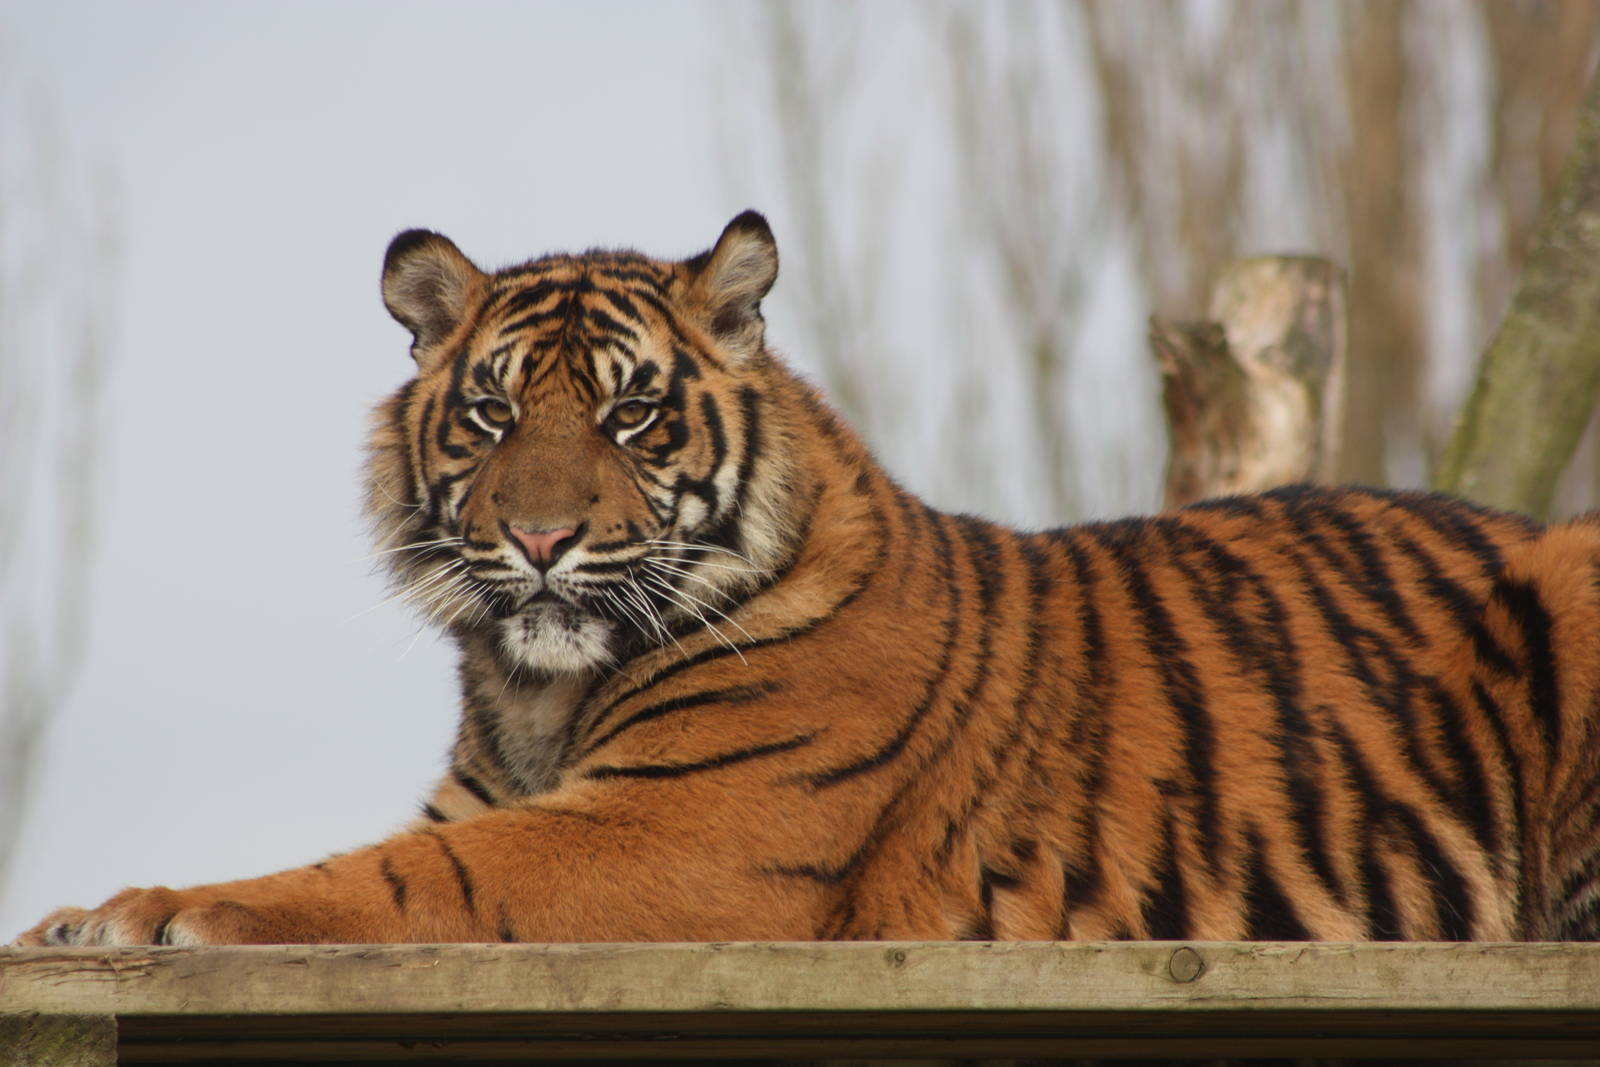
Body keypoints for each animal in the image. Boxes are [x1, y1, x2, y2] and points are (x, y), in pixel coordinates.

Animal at [16, 211, 1600, 947]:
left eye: (631, 415)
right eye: (490, 415)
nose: (538, 540)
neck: (532, 692)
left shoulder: (681, 831)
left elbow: (394, 879)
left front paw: (147, 911)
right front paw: (72, 915)